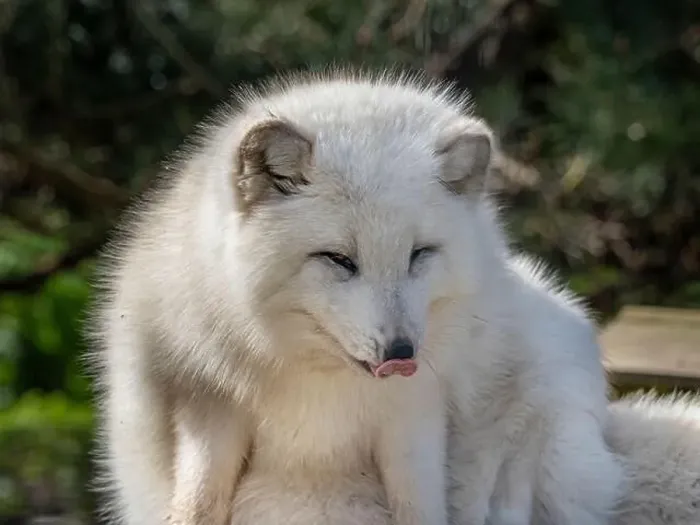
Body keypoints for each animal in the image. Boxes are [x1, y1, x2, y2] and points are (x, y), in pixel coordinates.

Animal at [87, 67, 623, 525]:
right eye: (339, 259)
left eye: (419, 254)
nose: (401, 352)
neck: (320, 385)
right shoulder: (208, 408)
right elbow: (197, 506)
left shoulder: (414, 415)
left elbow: (420, 509)